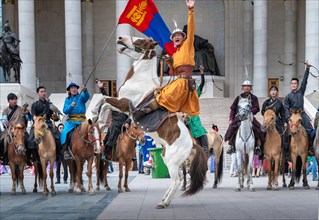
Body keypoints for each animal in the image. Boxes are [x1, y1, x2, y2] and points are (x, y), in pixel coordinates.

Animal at [104, 36, 210, 208]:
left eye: (140, 41)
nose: (120, 38)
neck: (140, 79)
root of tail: (193, 144)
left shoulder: (123, 103)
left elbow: (100, 98)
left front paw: (92, 114)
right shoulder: (119, 105)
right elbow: (102, 102)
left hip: (172, 162)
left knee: (176, 180)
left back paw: (164, 202)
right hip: (169, 159)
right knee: (178, 178)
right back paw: (164, 199)